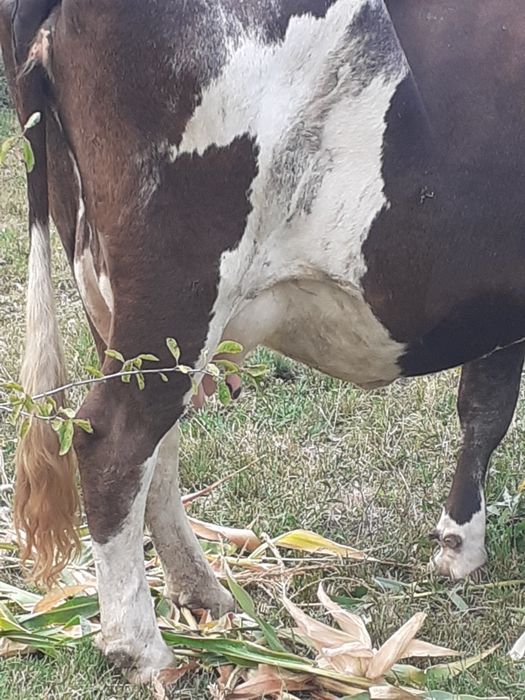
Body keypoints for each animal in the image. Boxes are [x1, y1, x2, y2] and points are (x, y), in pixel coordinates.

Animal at [2, 0, 525, 682]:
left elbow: (484, 409)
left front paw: (460, 547)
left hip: (110, 297)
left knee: (152, 450)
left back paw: (203, 593)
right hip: (180, 285)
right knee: (114, 445)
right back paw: (142, 648)